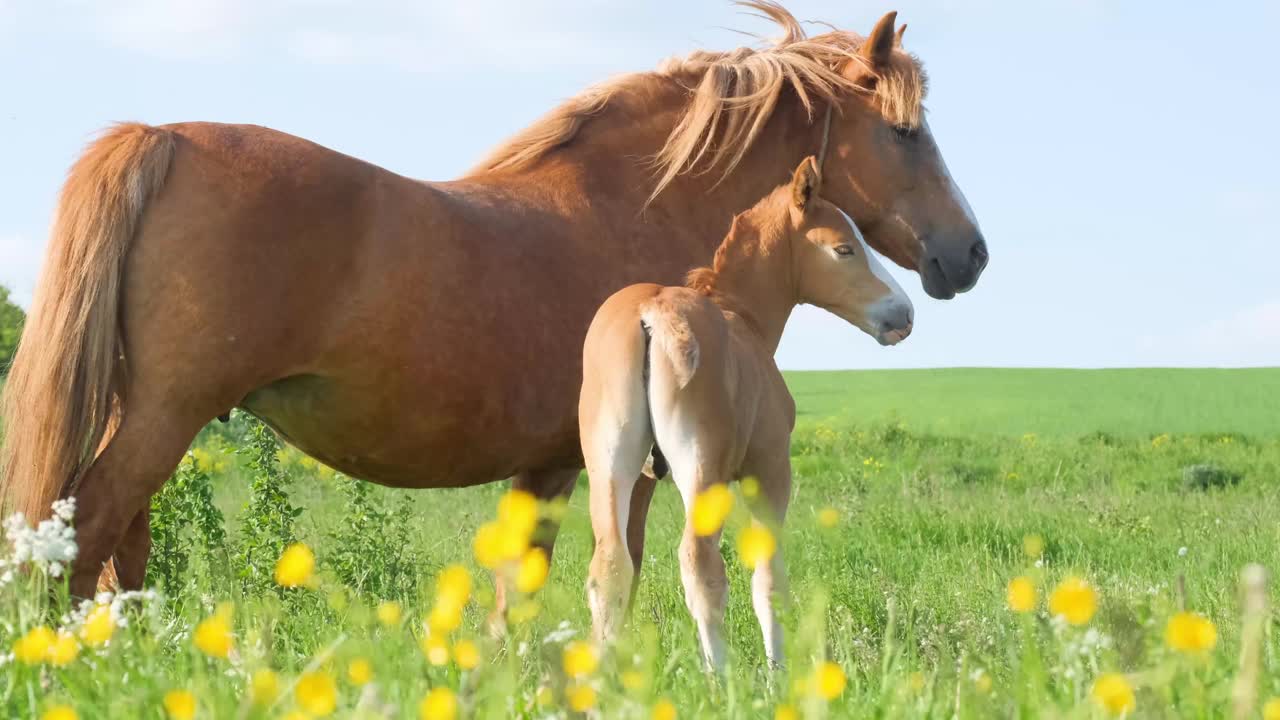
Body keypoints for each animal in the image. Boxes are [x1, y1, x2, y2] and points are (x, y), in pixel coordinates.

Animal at [0, 1, 988, 594]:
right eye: (904, 132)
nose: (970, 254)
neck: (635, 208)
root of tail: (158, 138)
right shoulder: (630, 470)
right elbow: (617, 577)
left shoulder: (545, 469)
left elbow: (525, 592)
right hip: (163, 416)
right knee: (84, 537)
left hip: (145, 415)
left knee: (117, 552)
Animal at [581, 155, 911, 666]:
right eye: (844, 249)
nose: (904, 313)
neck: (744, 319)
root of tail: (652, 315)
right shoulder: (769, 471)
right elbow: (769, 579)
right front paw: (778, 670)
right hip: (702, 469)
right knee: (699, 564)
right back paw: (721, 676)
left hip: (609, 466)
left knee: (610, 565)